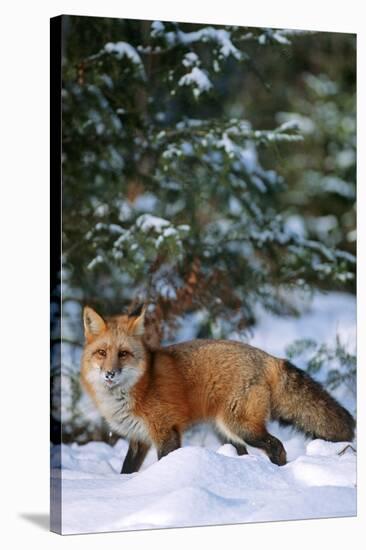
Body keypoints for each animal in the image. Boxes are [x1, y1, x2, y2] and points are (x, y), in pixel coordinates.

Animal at [80, 306, 354, 474]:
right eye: (102, 353)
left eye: (123, 354)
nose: (109, 374)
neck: (138, 387)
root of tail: (267, 357)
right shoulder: (139, 439)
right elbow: (126, 470)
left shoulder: (166, 432)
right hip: (225, 432)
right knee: (245, 453)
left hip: (240, 427)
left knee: (277, 446)